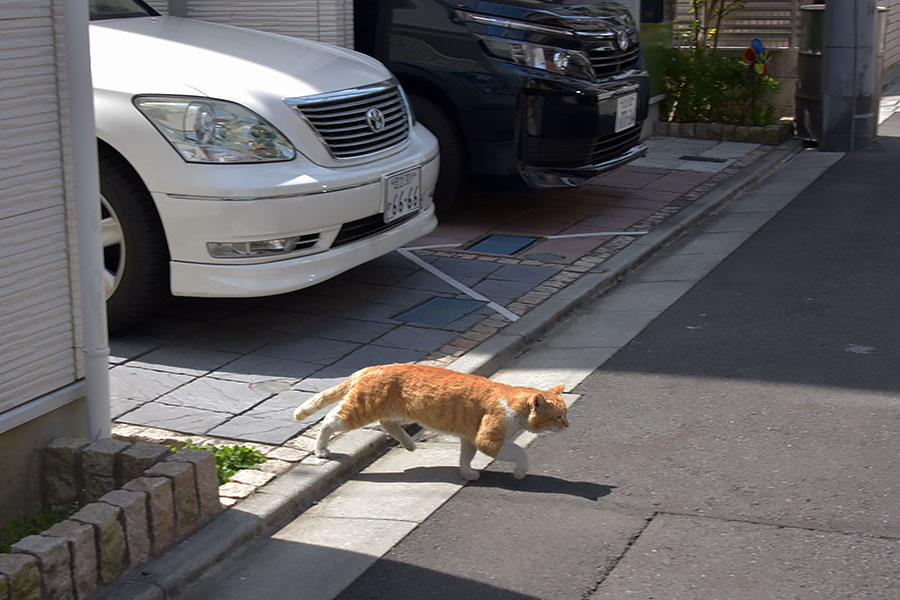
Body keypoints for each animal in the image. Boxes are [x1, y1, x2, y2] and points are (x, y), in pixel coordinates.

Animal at [292, 364, 568, 480]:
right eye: (557, 416)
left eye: (565, 413)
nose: (567, 426)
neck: (512, 405)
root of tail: (370, 368)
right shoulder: (488, 440)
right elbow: (521, 453)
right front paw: (520, 473)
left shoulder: (470, 438)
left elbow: (465, 457)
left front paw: (467, 473)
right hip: (360, 410)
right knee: (330, 420)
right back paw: (321, 450)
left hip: (396, 411)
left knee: (387, 424)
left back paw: (409, 444)